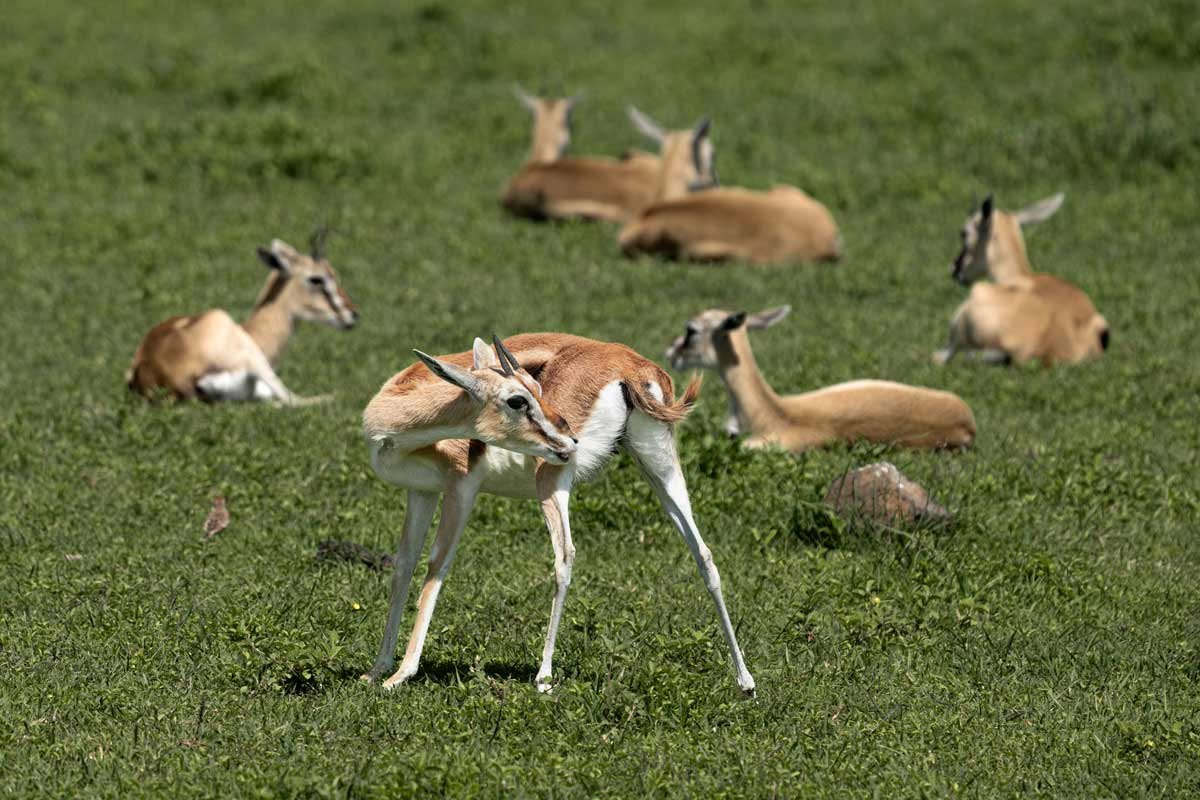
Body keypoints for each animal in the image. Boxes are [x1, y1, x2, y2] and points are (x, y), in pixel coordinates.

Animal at [361, 333, 756, 695]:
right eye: (518, 398)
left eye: (538, 388)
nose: (569, 437)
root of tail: (630, 366)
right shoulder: (422, 491)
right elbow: (404, 564)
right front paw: (378, 669)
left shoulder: (461, 487)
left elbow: (436, 566)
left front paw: (401, 674)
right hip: (659, 465)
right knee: (703, 553)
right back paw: (745, 681)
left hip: (554, 474)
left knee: (564, 556)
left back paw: (544, 676)